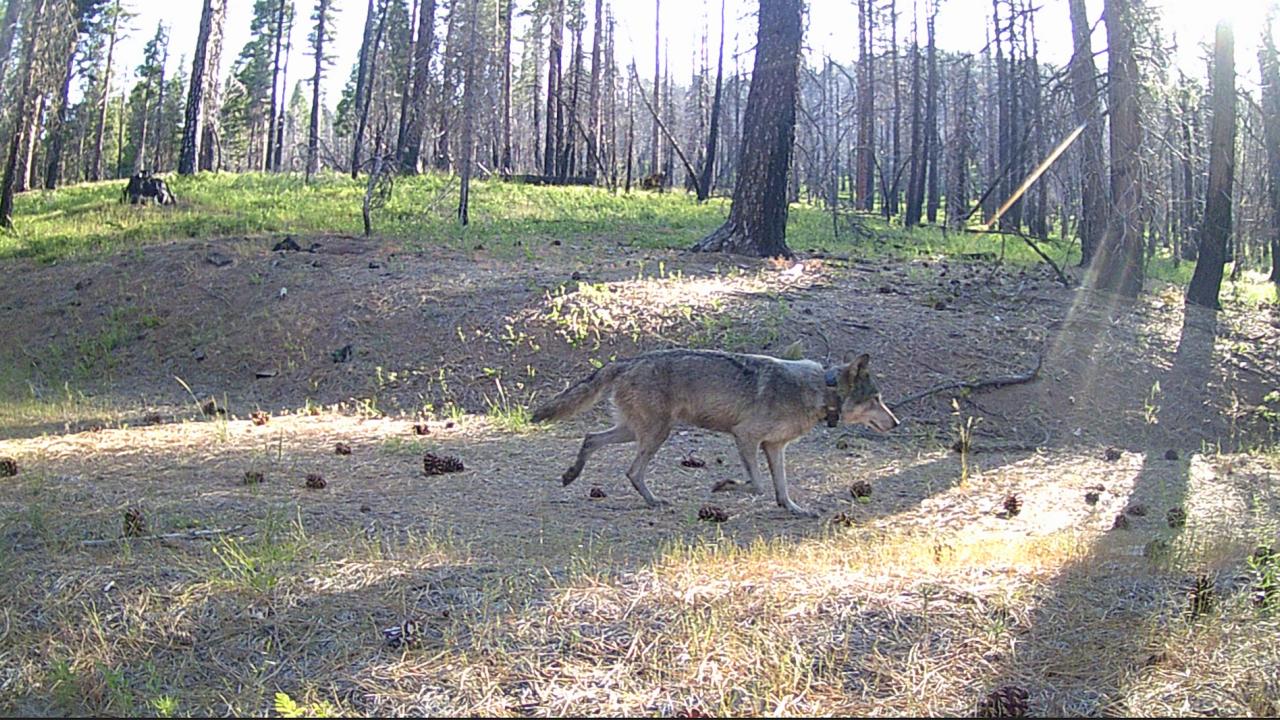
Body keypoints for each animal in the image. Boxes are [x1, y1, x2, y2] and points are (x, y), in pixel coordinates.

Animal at [532, 349, 899, 517]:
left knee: (591, 438)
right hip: (655, 434)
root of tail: (628, 360)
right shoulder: (745, 437)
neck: (822, 389)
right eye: (877, 399)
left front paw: (794, 509)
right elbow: (756, 485)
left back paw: (571, 475)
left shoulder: (774, 447)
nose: (896, 423)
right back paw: (653, 501)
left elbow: (781, 488)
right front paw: (722, 486)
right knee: (631, 470)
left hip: (636, 432)